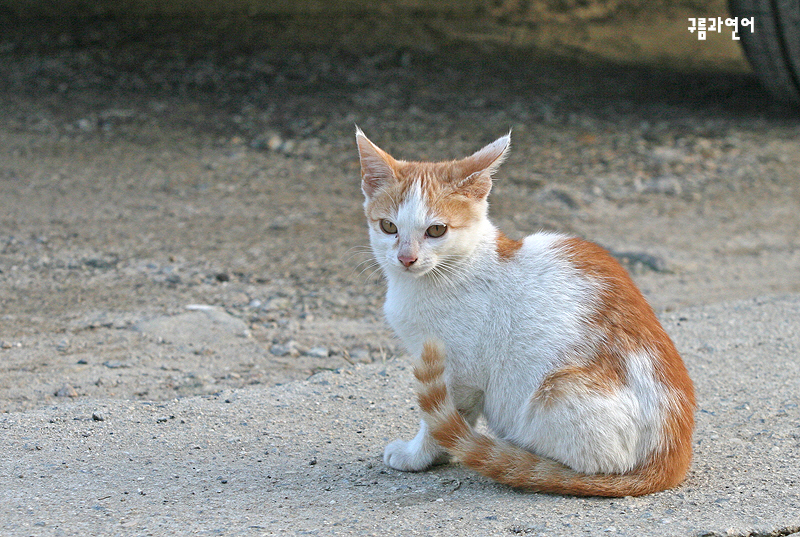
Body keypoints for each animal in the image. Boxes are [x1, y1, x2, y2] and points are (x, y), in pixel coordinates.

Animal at [356, 127, 692, 496]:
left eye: (436, 230)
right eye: (388, 227)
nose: (406, 258)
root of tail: (672, 455)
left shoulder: (461, 371)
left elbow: (438, 419)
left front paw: (419, 455)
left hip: (557, 392)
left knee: (595, 466)